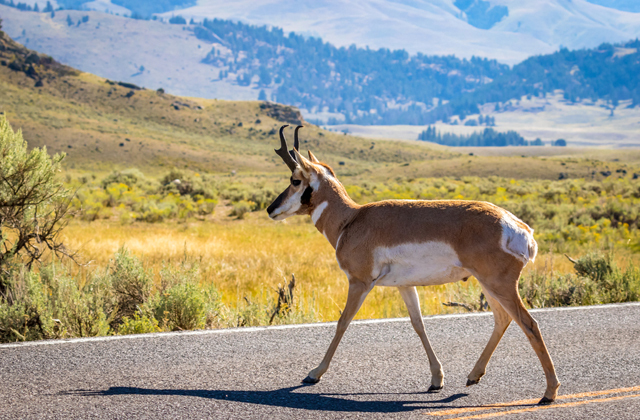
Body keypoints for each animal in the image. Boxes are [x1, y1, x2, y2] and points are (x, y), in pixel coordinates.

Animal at [264, 124, 560, 404]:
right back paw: (473, 376)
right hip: (488, 284)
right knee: (502, 319)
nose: (270, 209)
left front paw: (313, 374)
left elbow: (342, 322)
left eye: (295, 180)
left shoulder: (359, 283)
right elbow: (419, 324)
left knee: (529, 324)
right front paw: (436, 379)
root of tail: (520, 227)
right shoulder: (405, 286)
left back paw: (549, 392)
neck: (351, 218)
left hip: (499, 285)